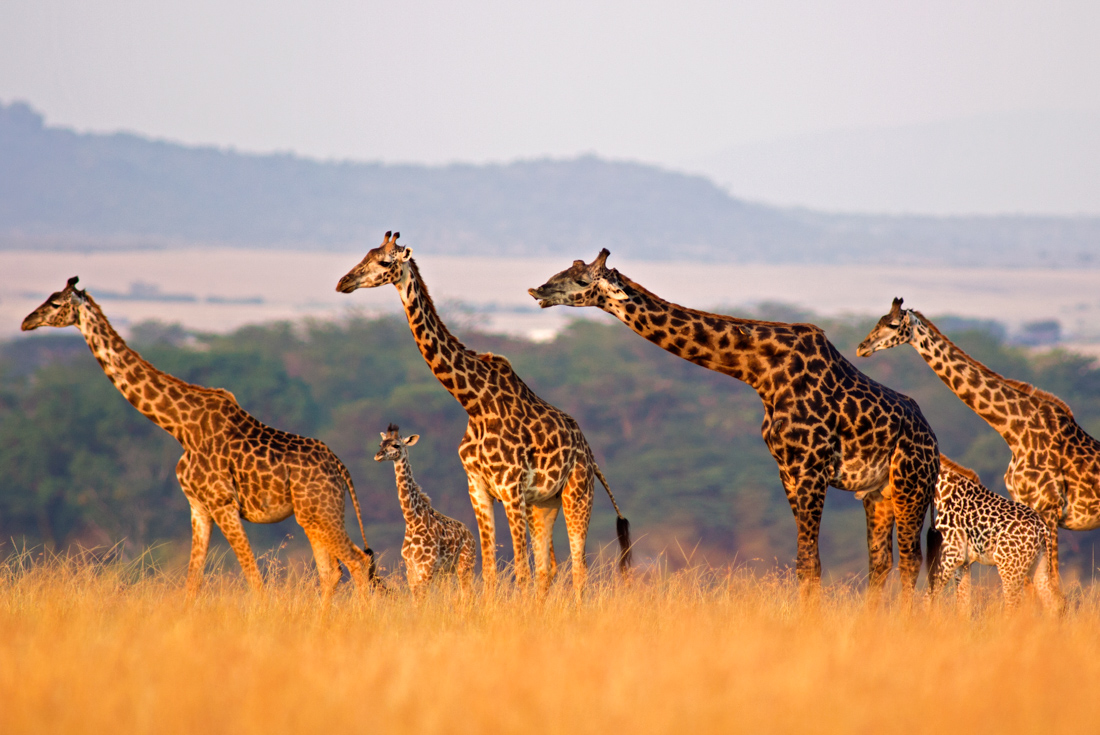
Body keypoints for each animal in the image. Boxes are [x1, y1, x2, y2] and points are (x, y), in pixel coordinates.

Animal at [21, 277, 376, 606]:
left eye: (55, 303)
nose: (26, 322)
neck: (179, 427)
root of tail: (341, 468)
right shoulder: (198, 506)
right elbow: (193, 582)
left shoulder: (222, 502)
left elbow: (253, 576)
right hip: (313, 516)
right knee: (332, 571)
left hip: (321, 512)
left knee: (358, 561)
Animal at [375, 424, 476, 594]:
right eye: (380, 444)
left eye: (396, 445)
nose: (378, 455)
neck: (412, 520)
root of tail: (471, 535)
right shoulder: (411, 568)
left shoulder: (427, 567)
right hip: (446, 571)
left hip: (465, 565)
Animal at [529, 250, 940, 598]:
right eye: (563, 271)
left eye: (582, 280)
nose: (538, 290)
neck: (761, 370)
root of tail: (933, 441)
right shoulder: (787, 469)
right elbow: (805, 562)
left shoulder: (810, 468)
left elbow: (810, 562)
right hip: (878, 493)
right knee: (881, 562)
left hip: (911, 484)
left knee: (911, 560)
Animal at [858, 297, 1100, 593]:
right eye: (878, 320)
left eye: (892, 324)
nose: (862, 347)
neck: (1014, 429)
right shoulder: (1027, 504)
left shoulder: (1048, 507)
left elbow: (1049, 584)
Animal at [928, 454, 1061, 613]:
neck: (943, 493)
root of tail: (1042, 527)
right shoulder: (963, 564)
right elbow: (963, 607)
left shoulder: (950, 557)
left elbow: (927, 599)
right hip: (1039, 566)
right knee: (1053, 603)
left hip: (1010, 569)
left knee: (1014, 606)